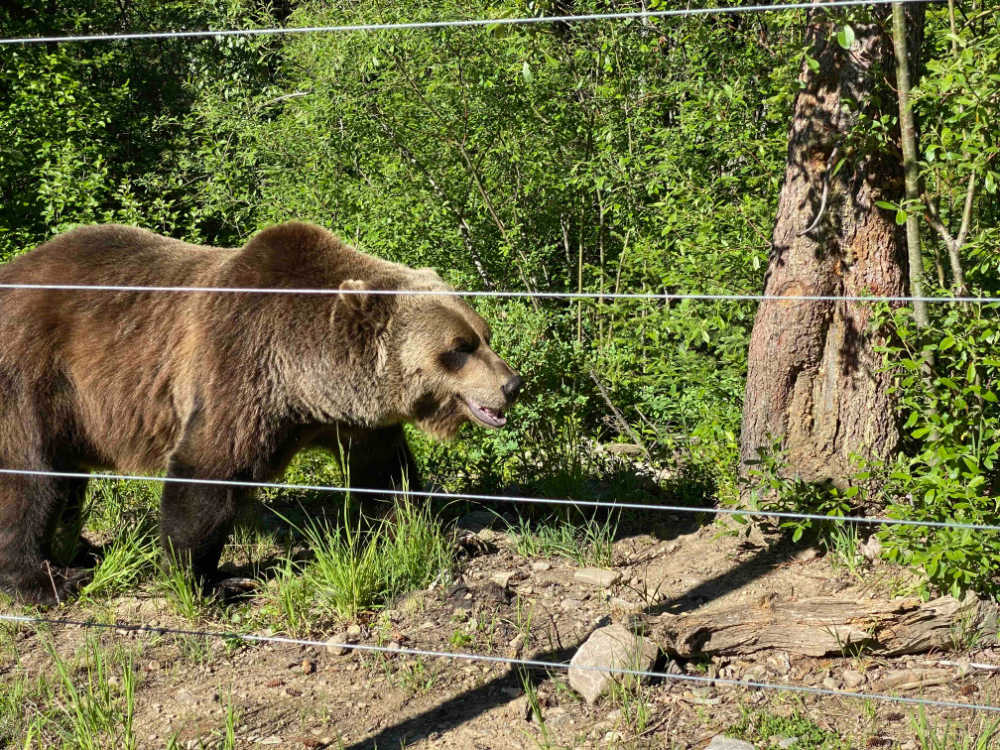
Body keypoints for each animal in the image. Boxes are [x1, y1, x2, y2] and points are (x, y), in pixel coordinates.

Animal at [0, 222, 523, 604]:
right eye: (458, 348)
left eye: (484, 334)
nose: (512, 385)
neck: (309, 378)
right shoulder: (240, 365)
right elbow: (207, 472)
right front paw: (207, 581)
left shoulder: (352, 420)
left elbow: (386, 475)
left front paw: (443, 535)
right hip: (33, 375)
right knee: (29, 479)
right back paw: (48, 579)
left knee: (64, 479)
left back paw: (81, 551)